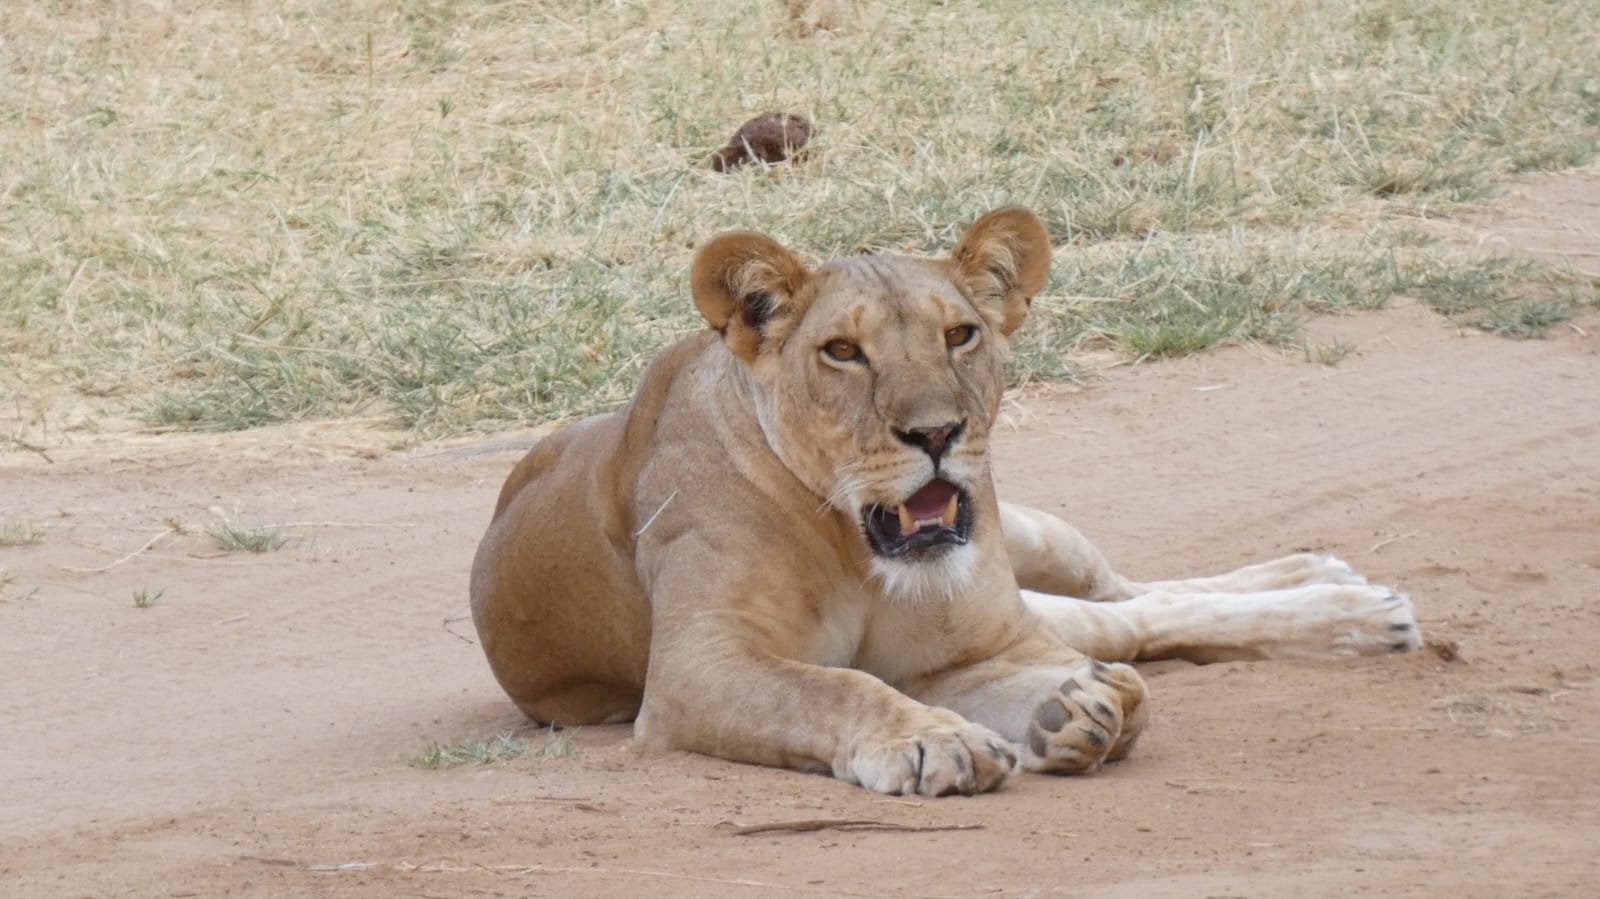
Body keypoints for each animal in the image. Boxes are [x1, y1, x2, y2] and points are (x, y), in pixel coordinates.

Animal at [469, 207, 1421, 796]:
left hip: (1036, 539)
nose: (937, 432)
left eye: (960, 334)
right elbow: (833, 687)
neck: (852, 544)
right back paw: (1351, 597)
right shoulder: (696, 667)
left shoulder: (973, 643)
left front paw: (1067, 712)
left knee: (1126, 602)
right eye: (842, 351)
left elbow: (1110, 666)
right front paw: (956, 737)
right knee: (1127, 617)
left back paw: (1347, 597)